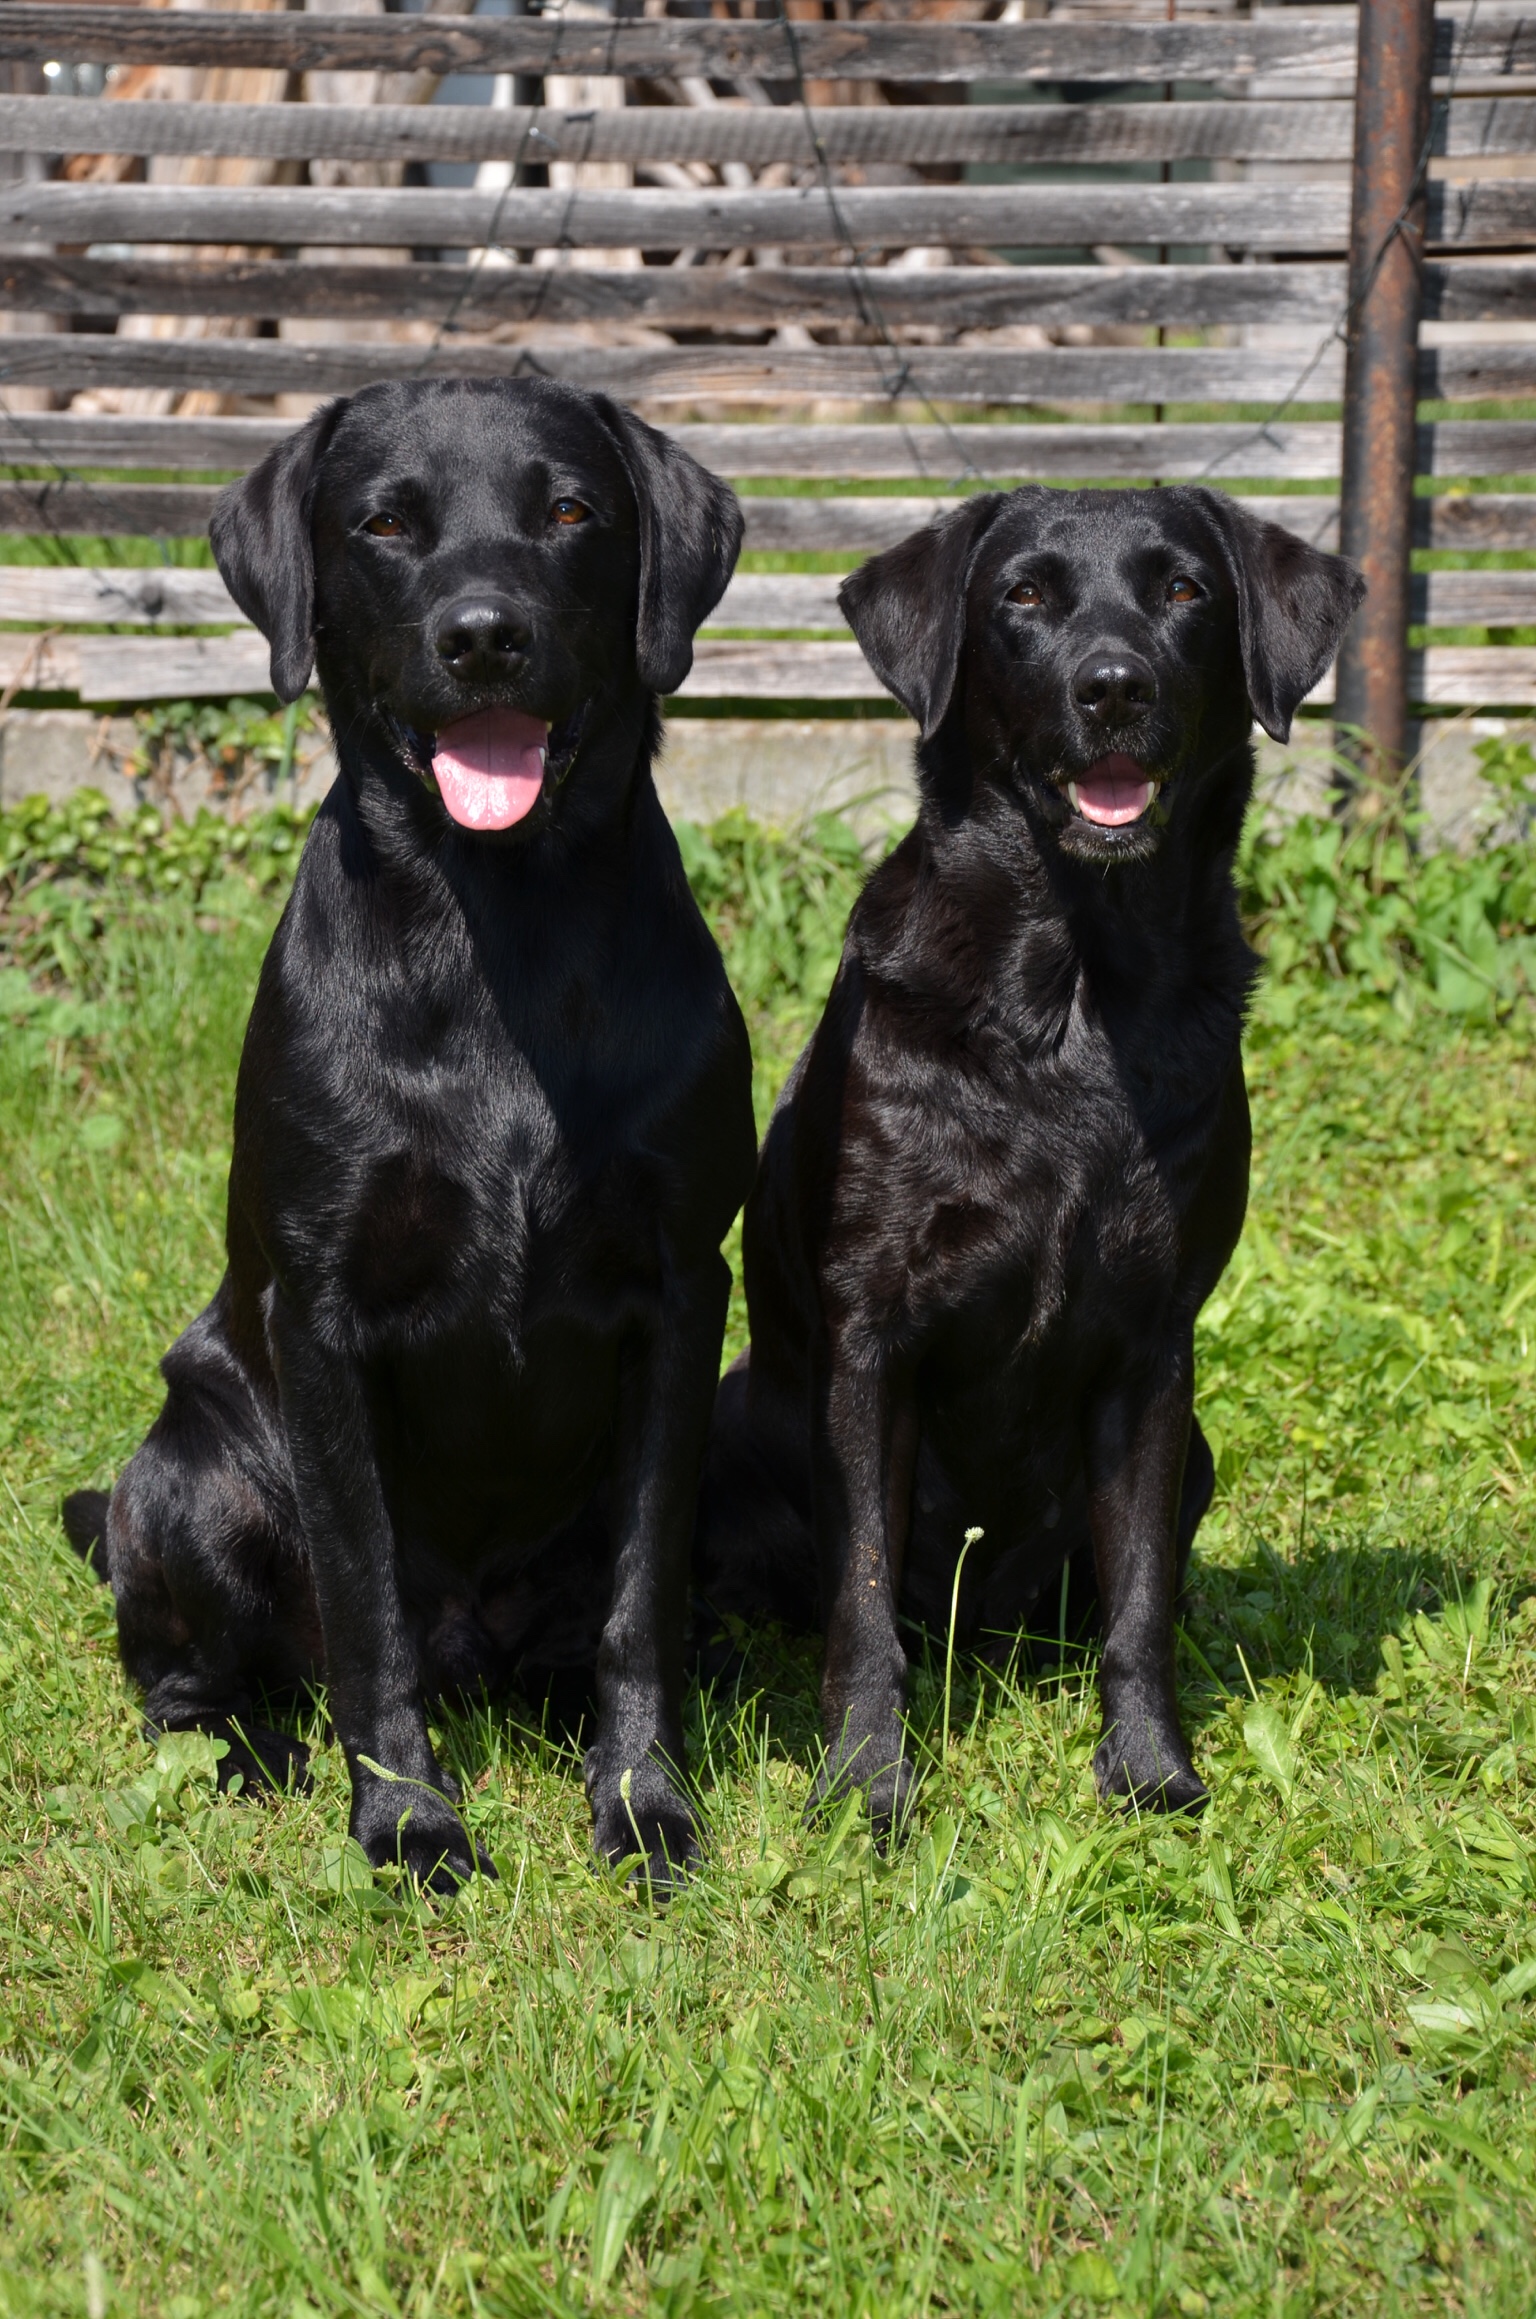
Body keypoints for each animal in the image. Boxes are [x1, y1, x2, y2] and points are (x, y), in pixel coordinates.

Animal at [63, 377, 757, 1891]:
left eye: (571, 510)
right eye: (384, 522)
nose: (483, 634)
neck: (498, 923)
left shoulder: (683, 1292)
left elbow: (640, 1604)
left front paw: (644, 1799)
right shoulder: (324, 1312)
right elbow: (364, 1598)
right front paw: (408, 1820)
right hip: (194, 1472)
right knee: (192, 1678)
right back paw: (247, 1752)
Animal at [695, 484, 1363, 1832]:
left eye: (1183, 592)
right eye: (1025, 596)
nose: (1111, 686)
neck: (1071, 994)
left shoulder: (1156, 1352)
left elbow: (1142, 1599)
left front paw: (1152, 1771)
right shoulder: (870, 1337)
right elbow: (858, 1600)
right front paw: (866, 1784)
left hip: (1194, 1454)